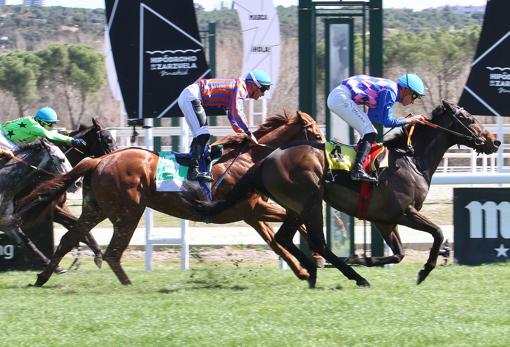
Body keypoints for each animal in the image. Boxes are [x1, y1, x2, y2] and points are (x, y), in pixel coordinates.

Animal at [17, 111, 324, 286]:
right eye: (314, 130)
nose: (326, 148)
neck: (248, 158)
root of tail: (99, 161)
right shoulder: (254, 209)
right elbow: (298, 225)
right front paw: (317, 258)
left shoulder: (252, 214)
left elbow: (276, 242)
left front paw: (303, 270)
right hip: (128, 211)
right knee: (113, 251)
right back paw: (128, 284)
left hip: (96, 210)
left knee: (70, 239)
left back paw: (42, 278)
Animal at [193, 100, 500, 288]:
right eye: (468, 118)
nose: (494, 141)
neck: (411, 159)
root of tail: (265, 159)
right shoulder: (405, 212)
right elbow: (437, 233)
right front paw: (424, 270)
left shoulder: (384, 219)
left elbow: (399, 254)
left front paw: (367, 259)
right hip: (311, 201)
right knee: (317, 241)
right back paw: (350, 275)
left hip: (296, 207)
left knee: (285, 238)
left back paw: (315, 272)